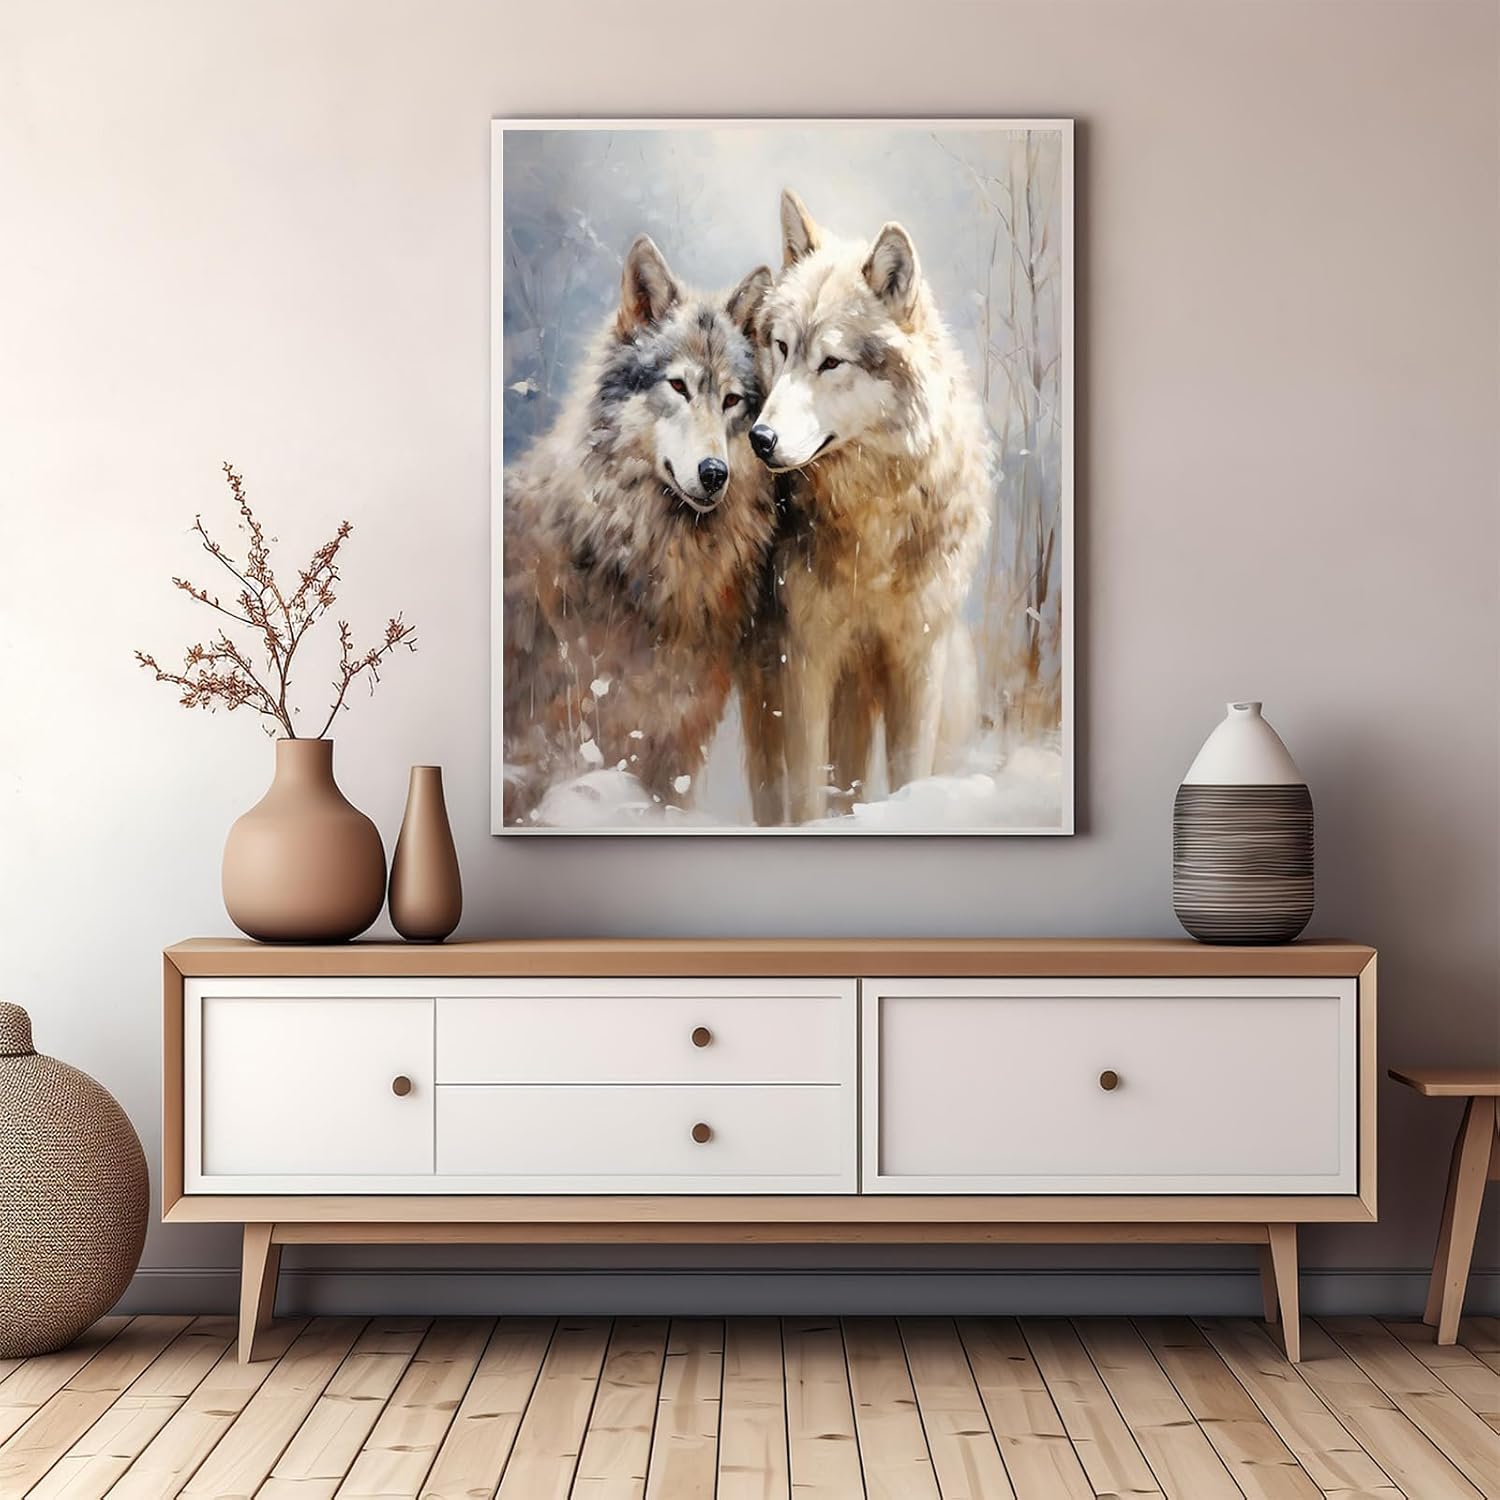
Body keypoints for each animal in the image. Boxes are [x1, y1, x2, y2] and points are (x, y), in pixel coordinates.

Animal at [742, 190, 994, 824]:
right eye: (783, 347)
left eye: (831, 362)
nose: (759, 439)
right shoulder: (804, 660)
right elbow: (807, 794)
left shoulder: (916, 660)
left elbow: (909, 775)